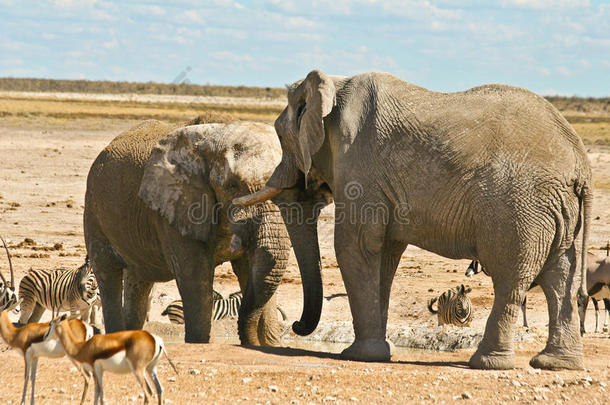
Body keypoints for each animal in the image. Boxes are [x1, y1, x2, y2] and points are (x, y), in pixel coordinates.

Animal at [83, 120, 290, 344]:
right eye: (232, 186)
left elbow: (254, 269)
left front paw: (270, 345)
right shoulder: (175, 207)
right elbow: (195, 278)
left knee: (139, 281)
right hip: (94, 211)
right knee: (108, 275)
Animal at [235, 70, 592, 370]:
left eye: (281, 136)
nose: (296, 325)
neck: (335, 85)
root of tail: (580, 164)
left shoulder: (359, 163)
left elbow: (355, 246)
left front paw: (358, 356)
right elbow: (385, 253)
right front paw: (376, 354)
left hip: (520, 208)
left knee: (510, 278)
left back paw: (488, 364)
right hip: (556, 209)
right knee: (560, 277)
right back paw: (555, 364)